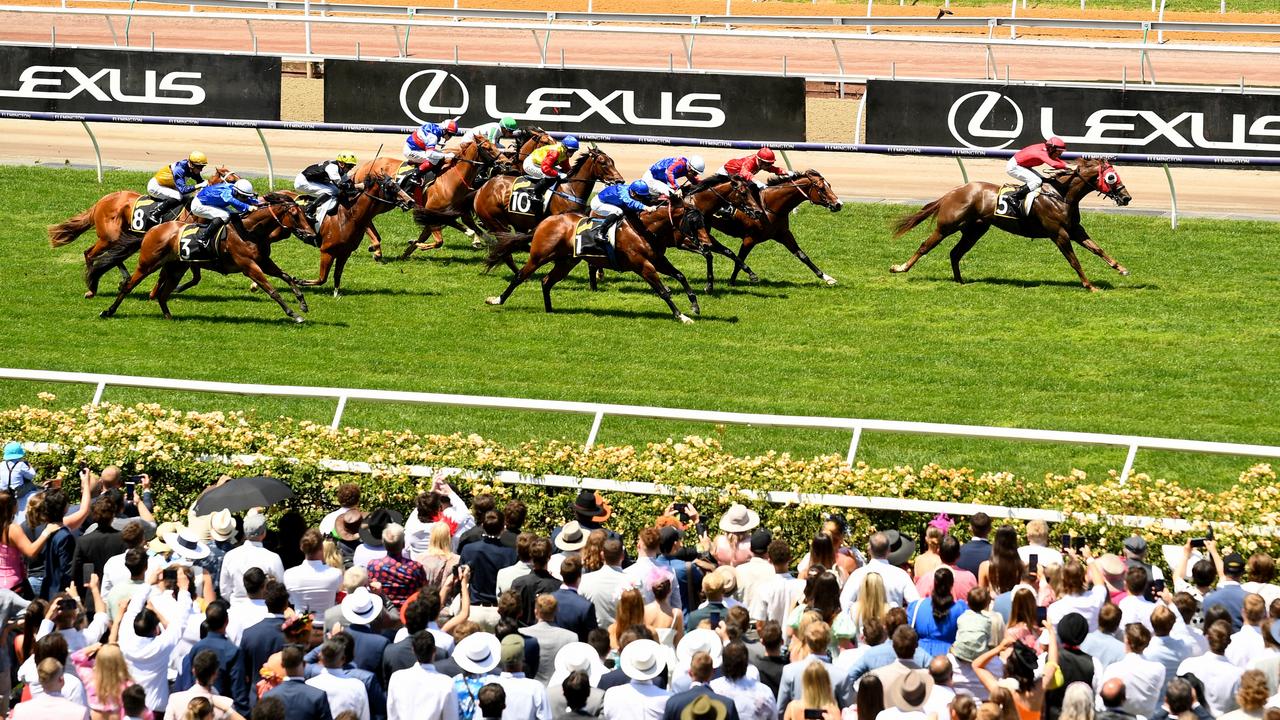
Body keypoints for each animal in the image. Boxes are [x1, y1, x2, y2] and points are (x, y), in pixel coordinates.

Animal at [49, 166, 240, 295]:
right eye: (231, 180)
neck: (194, 210)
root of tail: (103, 200)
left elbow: (195, 277)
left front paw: (175, 288)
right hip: (110, 236)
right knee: (91, 254)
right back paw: (92, 285)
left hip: (121, 234)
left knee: (106, 254)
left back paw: (121, 278)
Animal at [98, 193, 318, 322]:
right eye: (295, 215)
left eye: (304, 213)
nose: (312, 235)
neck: (249, 231)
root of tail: (153, 229)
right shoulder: (248, 265)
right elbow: (271, 290)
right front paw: (294, 315)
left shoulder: (264, 261)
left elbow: (287, 277)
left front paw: (302, 303)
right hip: (148, 263)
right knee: (129, 286)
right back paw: (108, 311)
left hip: (176, 267)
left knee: (163, 293)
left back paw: (169, 317)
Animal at [483, 196, 716, 319]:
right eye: (694, 222)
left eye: (703, 221)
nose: (706, 244)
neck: (644, 229)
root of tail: (544, 222)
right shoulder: (642, 264)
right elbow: (663, 290)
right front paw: (681, 316)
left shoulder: (658, 260)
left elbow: (680, 276)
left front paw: (695, 306)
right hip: (539, 256)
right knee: (520, 277)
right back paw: (497, 299)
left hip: (567, 261)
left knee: (546, 281)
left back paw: (550, 310)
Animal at [890, 157, 1131, 292]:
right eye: (1111, 177)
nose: (1126, 197)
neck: (1061, 195)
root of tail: (955, 191)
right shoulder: (1059, 233)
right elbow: (1074, 261)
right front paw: (1090, 286)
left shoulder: (1074, 229)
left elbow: (1097, 249)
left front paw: (1121, 269)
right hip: (947, 226)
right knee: (925, 246)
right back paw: (900, 268)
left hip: (975, 230)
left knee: (955, 253)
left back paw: (960, 281)